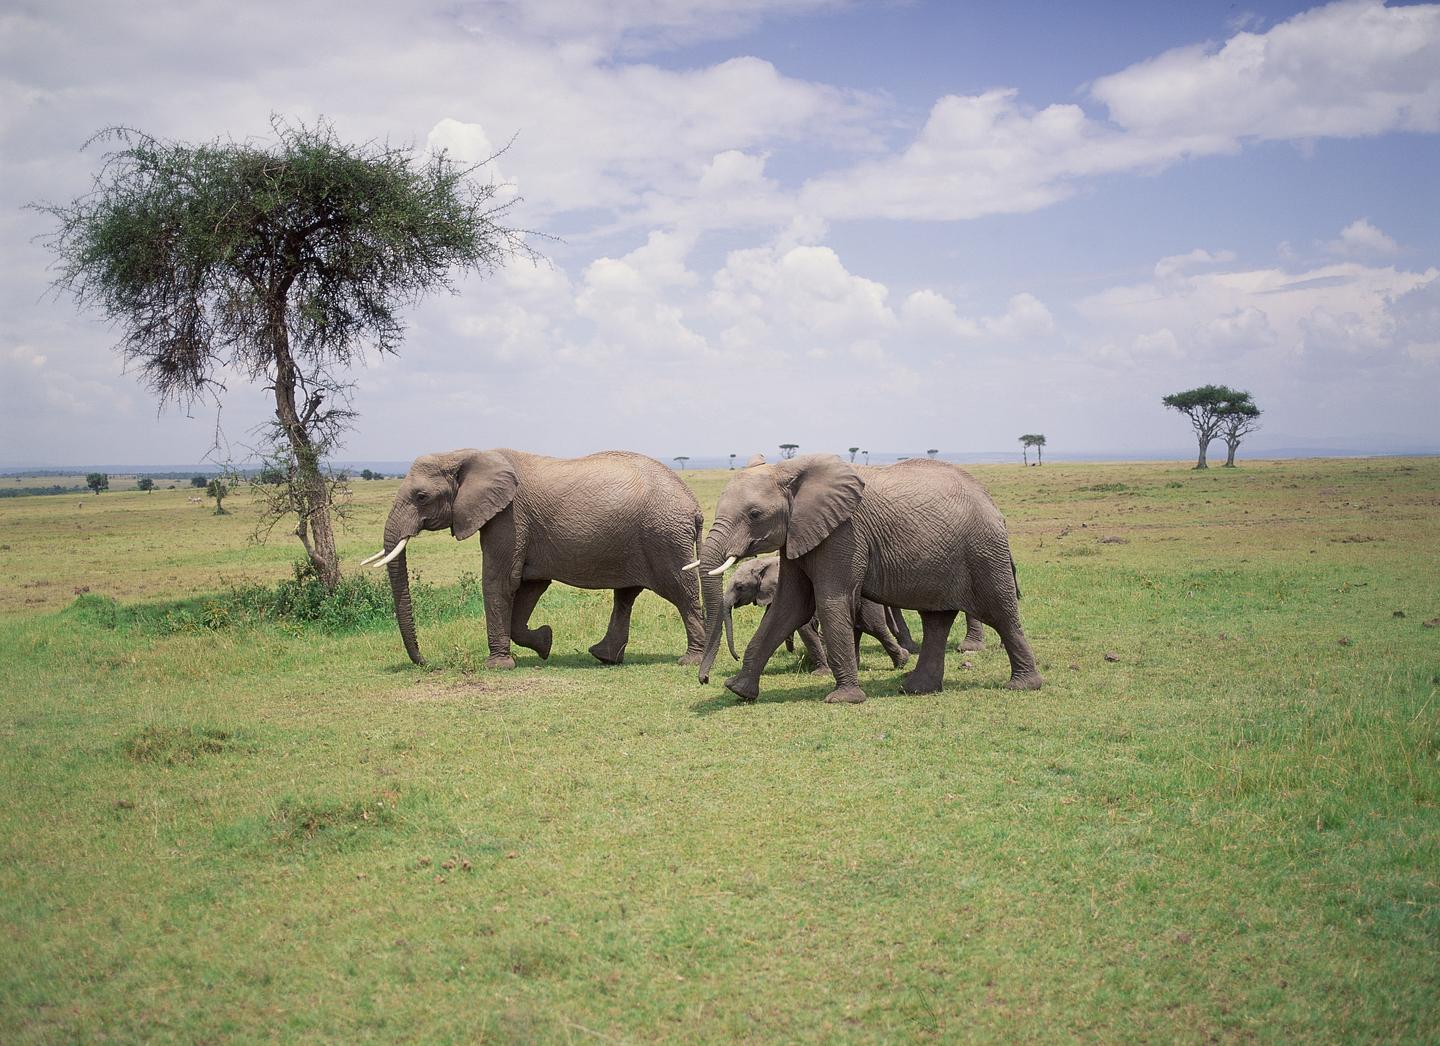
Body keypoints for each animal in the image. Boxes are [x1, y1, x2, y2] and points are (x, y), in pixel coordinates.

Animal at [362, 449, 705, 662]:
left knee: (682, 593)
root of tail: (693, 503)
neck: (465, 454)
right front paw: (545, 643)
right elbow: (528, 585)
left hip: (665, 537)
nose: (424, 661)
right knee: (626, 595)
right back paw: (604, 657)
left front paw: (498, 665)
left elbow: (501, 581)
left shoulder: (509, 518)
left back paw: (689, 661)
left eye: (421, 496)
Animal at [720, 556, 910, 671]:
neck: (764, 562)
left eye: (739, 587)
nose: (737, 657)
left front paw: (821, 672)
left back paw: (902, 661)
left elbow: (803, 627)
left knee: (874, 627)